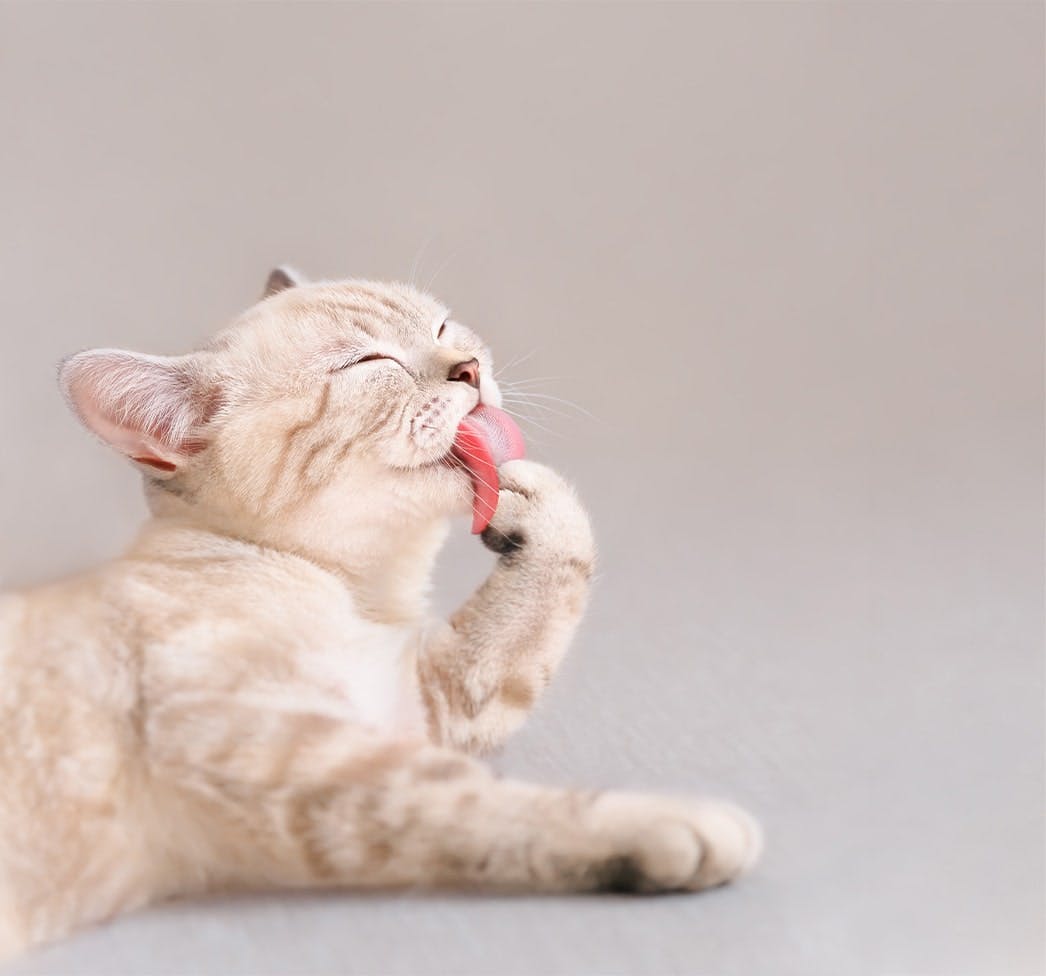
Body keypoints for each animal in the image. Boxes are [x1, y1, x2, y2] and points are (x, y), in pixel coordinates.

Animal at [0, 267, 761, 958]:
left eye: (443, 328)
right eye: (369, 364)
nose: (469, 368)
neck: (362, 594)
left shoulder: (414, 706)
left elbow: (543, 600)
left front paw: (531, 491)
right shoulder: (298, 756)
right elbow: (484, 804)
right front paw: (675, 824)